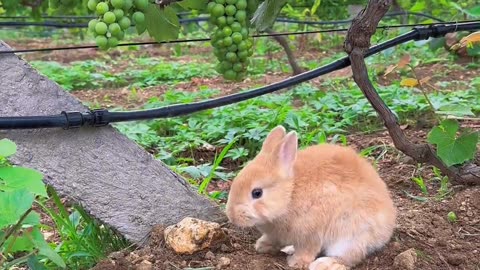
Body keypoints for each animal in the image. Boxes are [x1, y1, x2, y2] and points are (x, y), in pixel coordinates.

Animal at [225, 126, 398, 270]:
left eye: (257, 193)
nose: (232, 216)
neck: (290, 193)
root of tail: (386, 230)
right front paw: (262, 246)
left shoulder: (310, 233)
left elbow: (307, 250)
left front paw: (296, 262)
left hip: (352, 235)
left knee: (349, 257)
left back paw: (325, 265)